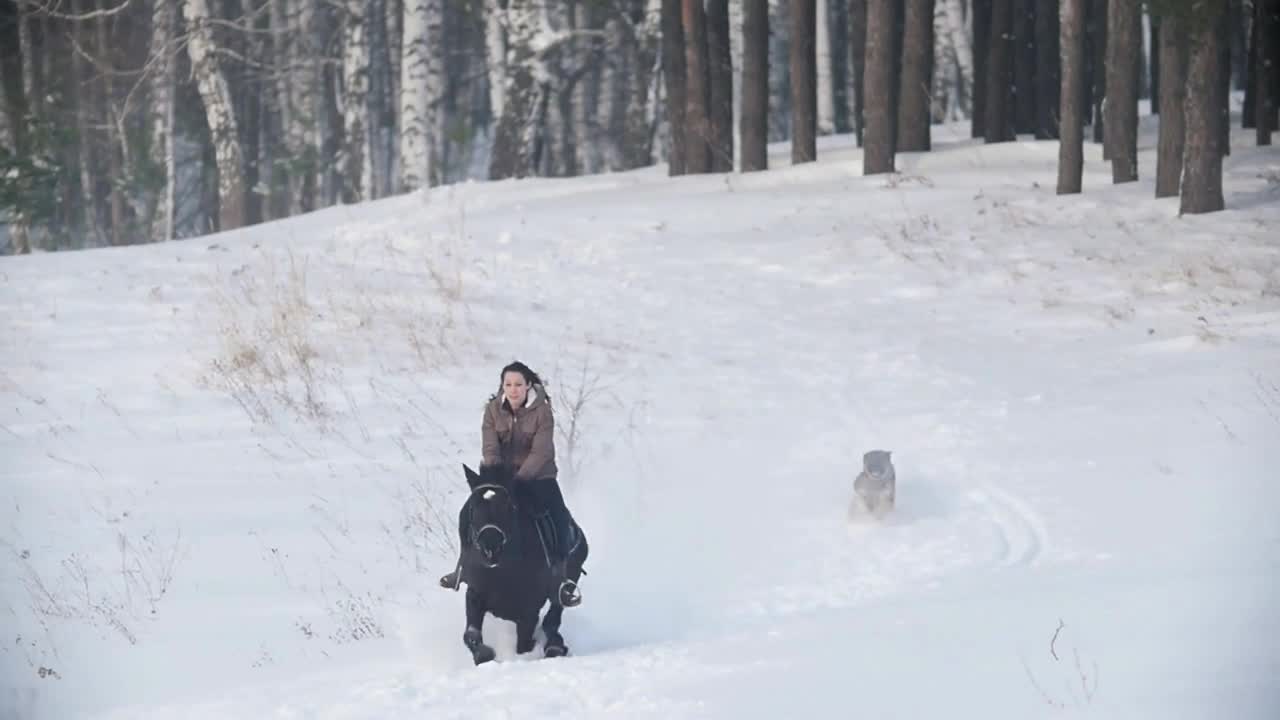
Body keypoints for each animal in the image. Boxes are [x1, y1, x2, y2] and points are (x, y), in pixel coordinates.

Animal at [455, 466, 588, 661]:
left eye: (507, 506)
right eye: (473, 507)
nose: (490, 548)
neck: (502, 570)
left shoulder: (529, 610)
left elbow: (524, 644)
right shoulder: (475, 594)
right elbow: (471, 634)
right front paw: (484, 655)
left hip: (570, 580)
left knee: (554, 616)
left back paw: (554, 647)